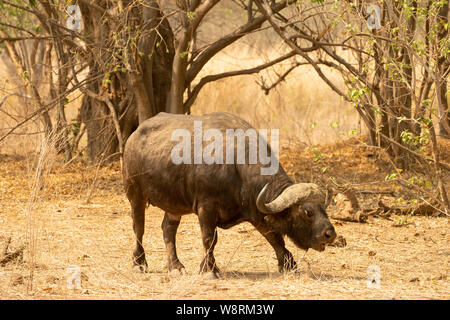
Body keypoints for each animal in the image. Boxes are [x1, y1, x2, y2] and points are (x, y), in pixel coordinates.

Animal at [121, 112, 336, 278]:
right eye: (307, 212)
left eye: (324, 208)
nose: (330, 234)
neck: (236, 165)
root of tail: (133, 136)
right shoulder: (206, 208)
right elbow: (209, 238)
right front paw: (209, 270)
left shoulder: (255, 211)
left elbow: (274, 237)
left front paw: (288, 264)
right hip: (135, 193)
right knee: (138, 228)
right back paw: (139, 263)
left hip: (174, 204)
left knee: (168, 228)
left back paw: (175, 266)